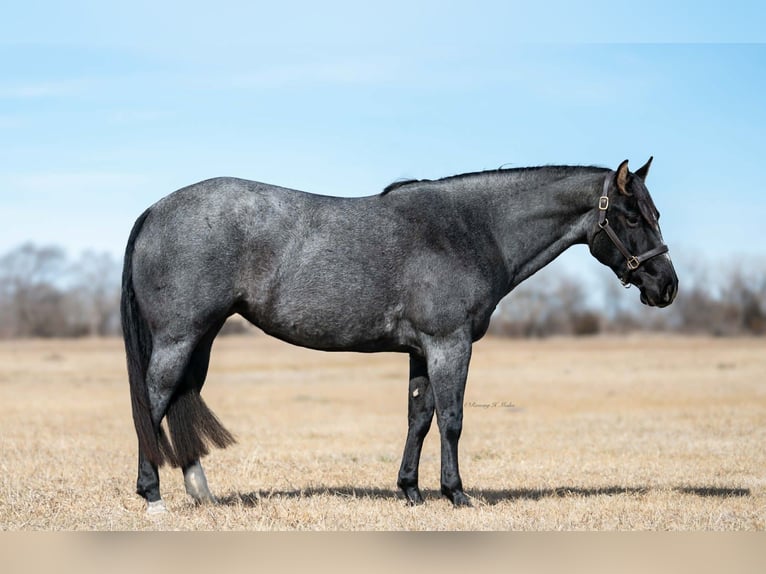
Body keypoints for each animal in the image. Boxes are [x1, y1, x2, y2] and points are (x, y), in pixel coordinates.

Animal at [121, 157, 678, 513]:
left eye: (655, 214)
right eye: (630, 215)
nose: (666, 286)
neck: (471, 228)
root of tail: (155, 209)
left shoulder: (421, 350)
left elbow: (419, 418)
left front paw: (410, 490)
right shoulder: (450, 343)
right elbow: (451, 420)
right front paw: (456, 493)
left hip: (202, 337)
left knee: (180, 398)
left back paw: (202, 494)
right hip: (179, 337)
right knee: (153, 400)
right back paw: (153, 495)